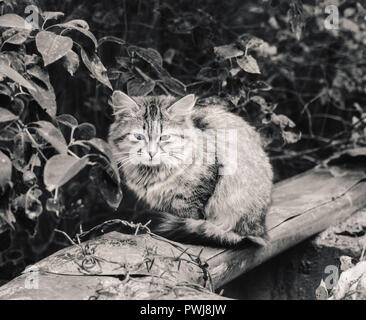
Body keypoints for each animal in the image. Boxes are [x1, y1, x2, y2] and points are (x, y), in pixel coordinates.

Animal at [107, 91, 274, 246]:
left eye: (165, 137)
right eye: (138, 137)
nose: (151, 153)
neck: (153, 173)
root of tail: (261, 228)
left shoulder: (192, 197)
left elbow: (188, 218)